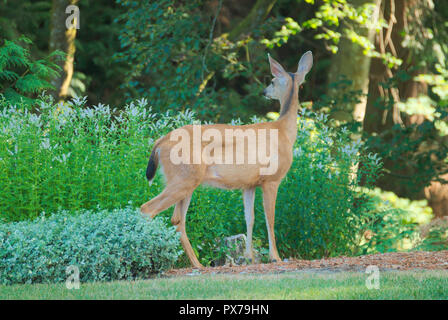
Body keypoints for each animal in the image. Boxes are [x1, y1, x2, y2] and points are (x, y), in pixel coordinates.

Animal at [139, 52, 312, 268]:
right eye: (272, 80)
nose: (264, 91)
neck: (284, 131)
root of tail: (160, 142)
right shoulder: (271, 179)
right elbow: (270, 218)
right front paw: (275, 257)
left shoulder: (249, 184)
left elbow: (250, 218)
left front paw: (249, 257)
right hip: (183, 178)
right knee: (148, 209)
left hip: (186, 181)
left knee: (177, 220)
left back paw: (197, 264)